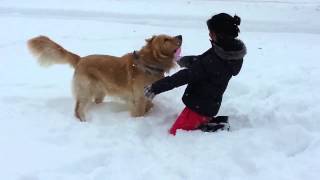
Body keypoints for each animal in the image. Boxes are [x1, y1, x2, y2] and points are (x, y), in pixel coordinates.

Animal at [27, 34, 182, 121]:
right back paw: (83, 121)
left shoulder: (147, 95)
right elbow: (139, 112)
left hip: (99, 92)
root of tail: (80, 59)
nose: (180, 36)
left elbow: (150, 105)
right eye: (166, 39)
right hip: (86, 91)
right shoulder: (138, 98)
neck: (148, 63)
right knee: (78, 110)